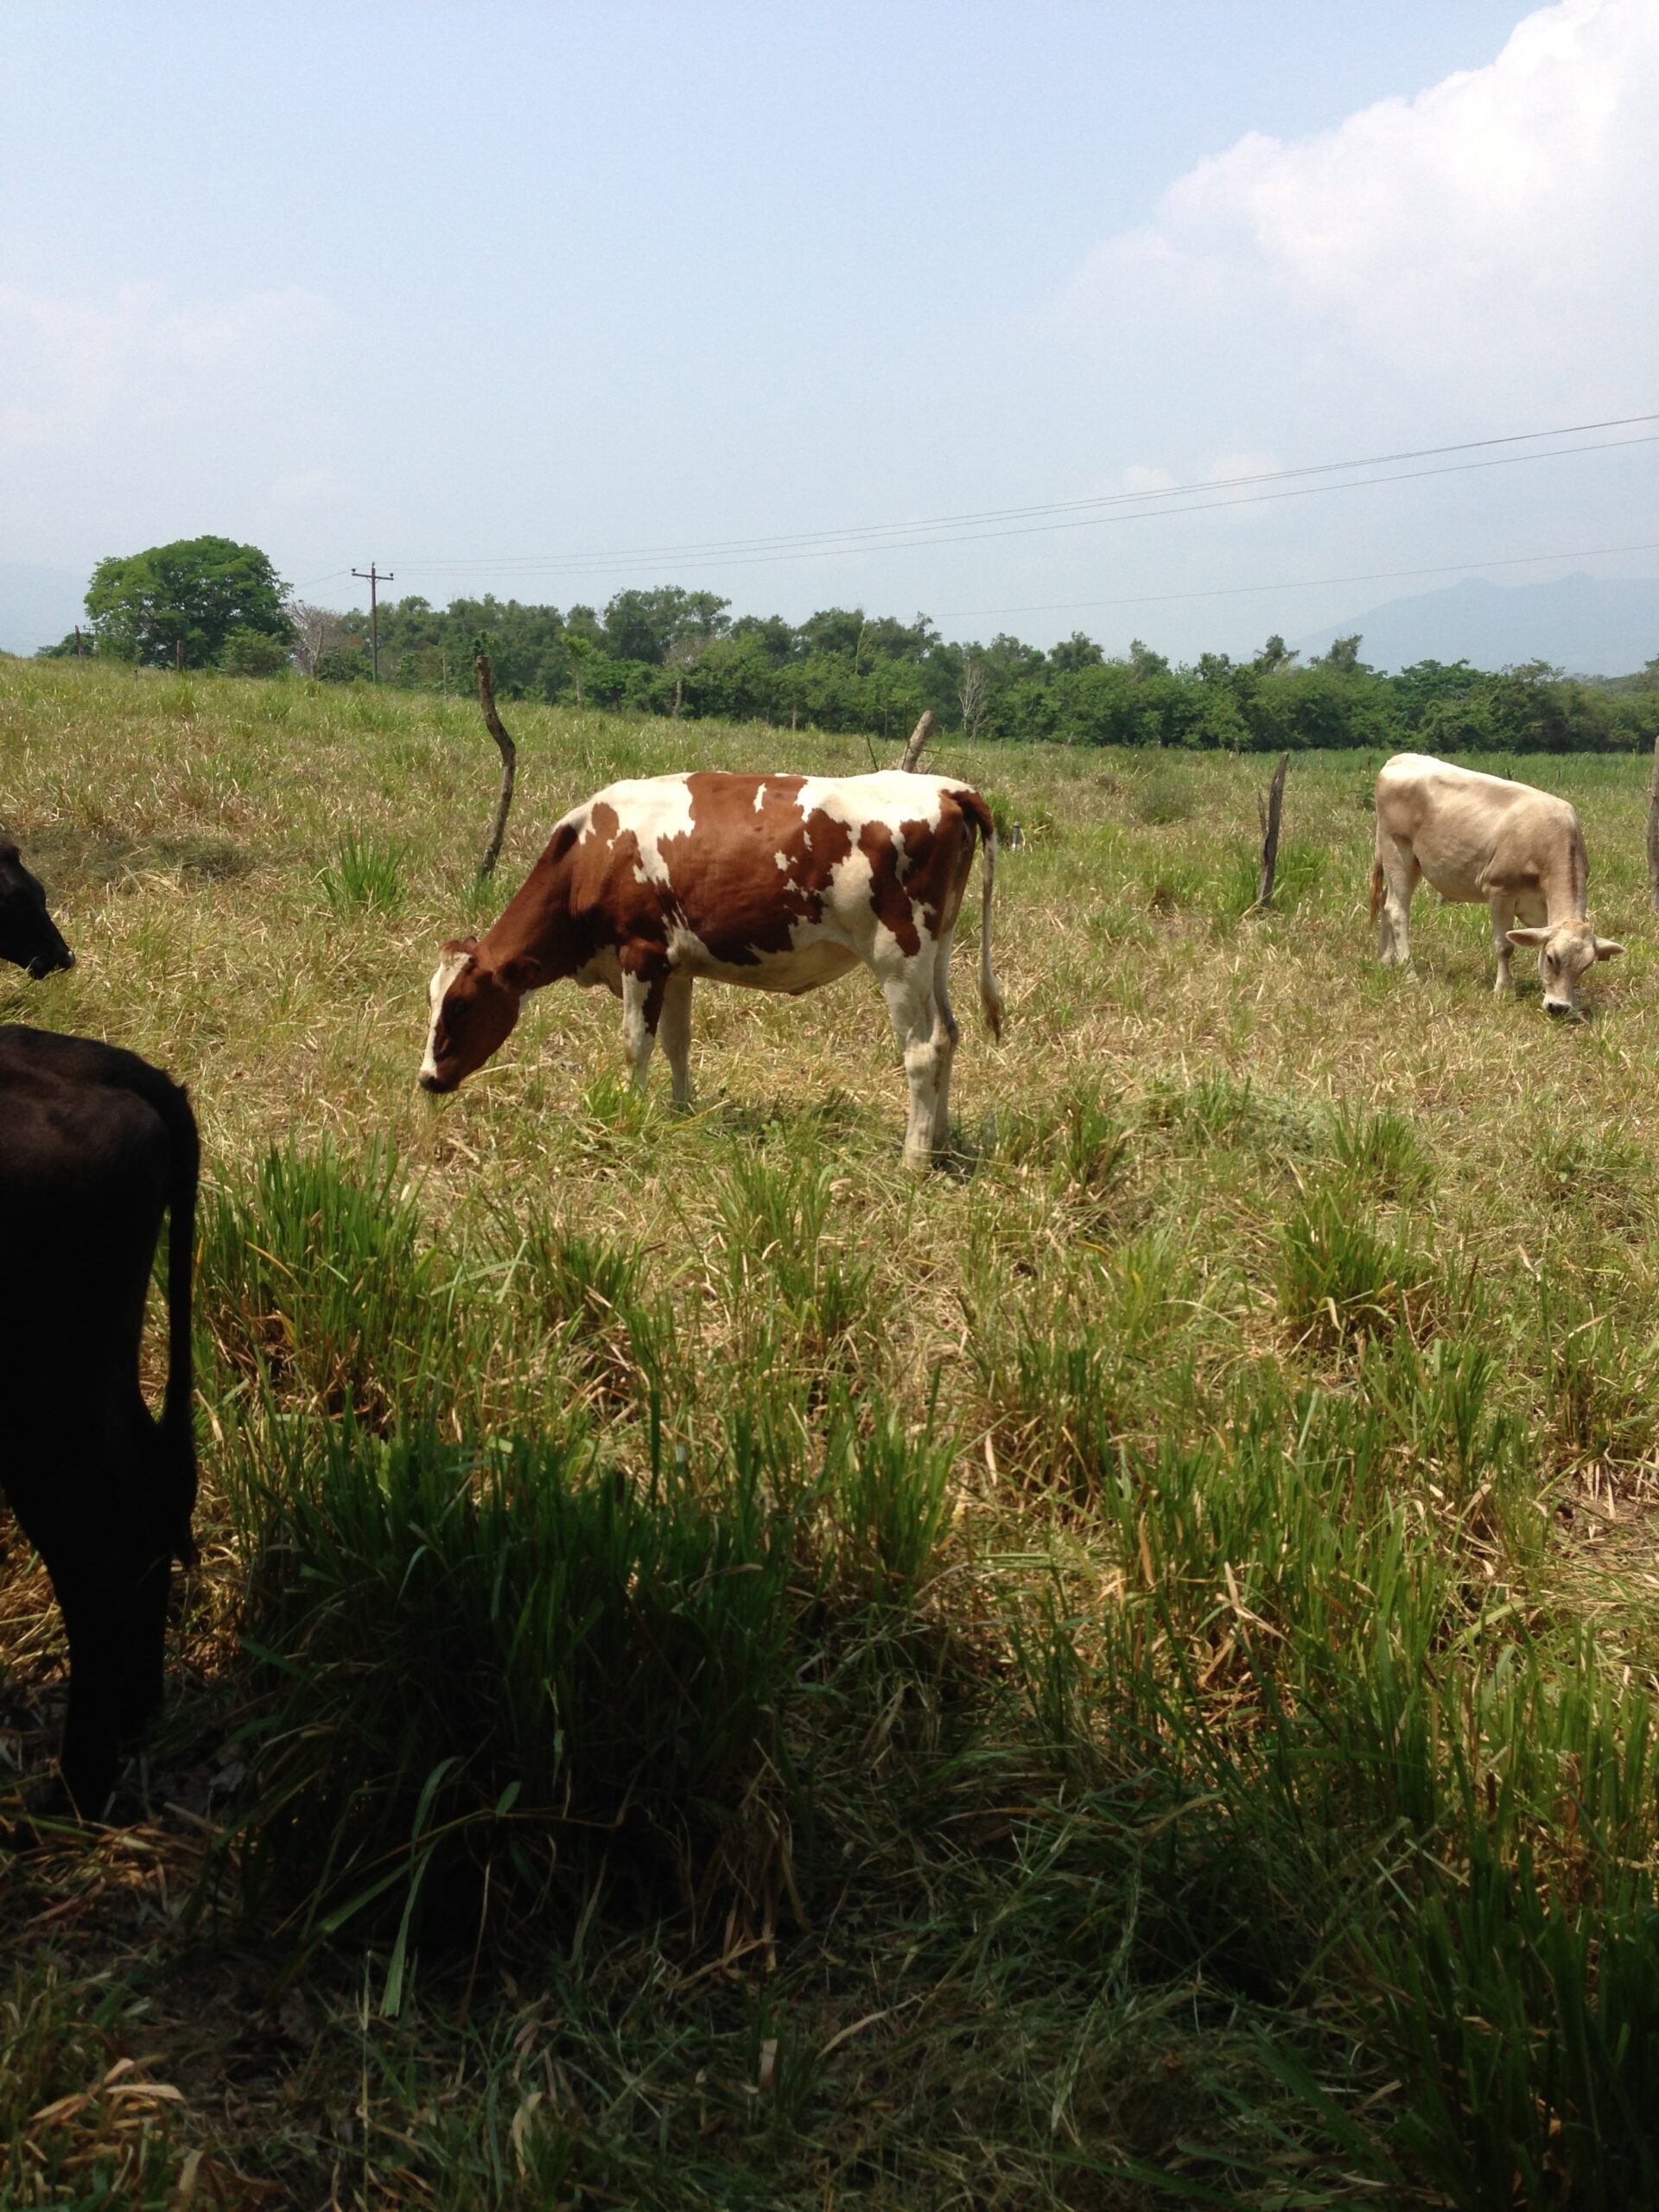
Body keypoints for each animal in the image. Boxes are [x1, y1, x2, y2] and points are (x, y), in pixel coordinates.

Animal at [0, 1017, 200, 1814]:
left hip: (40, 1406)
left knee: (95, 1584)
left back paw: (70, 1802)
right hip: (97, 1376)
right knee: (146, 1507)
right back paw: (135, 1717)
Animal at [422, 769, 1008, 1167]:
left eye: (461, 1004)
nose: (427, 1078)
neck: (590, 853)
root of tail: (948, 788)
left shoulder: (641, 953)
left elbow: (636, 1044)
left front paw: (631, 1115)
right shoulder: (676, 966)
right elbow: (677, 1044)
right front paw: (681, 1113)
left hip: (898, 954)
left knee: (922, 1050)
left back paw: (914, 1159)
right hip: (938, 948)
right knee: (948, 1035)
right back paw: (939, 1142)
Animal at [1371, 752, 1628, 1013]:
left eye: (1585, 966)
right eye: (1551, 958)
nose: (1559, 1007)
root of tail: (1400, 758)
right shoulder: (1499, 890)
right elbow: (1505, 945)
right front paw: (1504, 990)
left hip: (1412, 862)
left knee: (1384, 900)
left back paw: (1385, 959)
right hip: (1397, 848)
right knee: (1397, 910)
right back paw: (1409, 973)